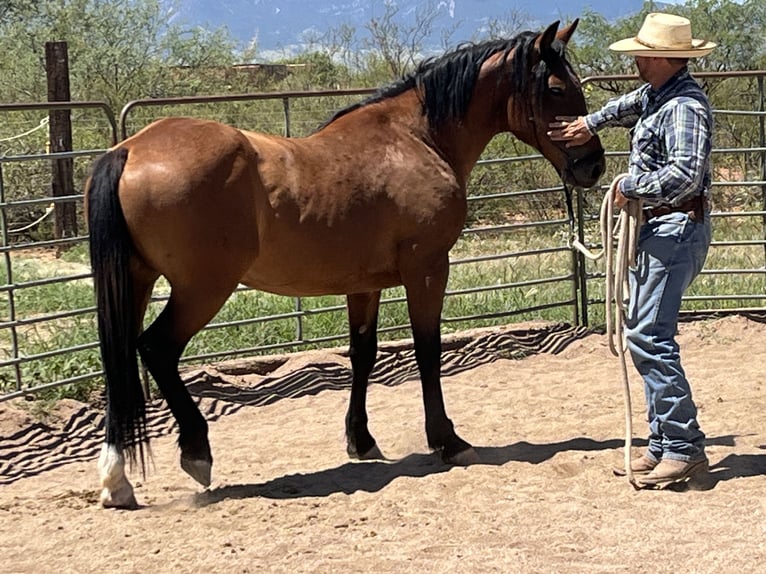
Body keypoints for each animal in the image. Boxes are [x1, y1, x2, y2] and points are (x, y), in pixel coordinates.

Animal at [85, 20, 608, 510]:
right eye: (556, 89)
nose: (593, 165)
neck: (416, 138)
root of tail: (129, 150)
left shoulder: (364, 285)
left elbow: (363, 354)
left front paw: (362, 440)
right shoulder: (427, 270)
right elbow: (427, 351)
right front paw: (447, 440)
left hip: (136, 282)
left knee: (120, 363)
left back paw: (116, 481)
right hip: (203, 288)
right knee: (156, 349)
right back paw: (196, 453)